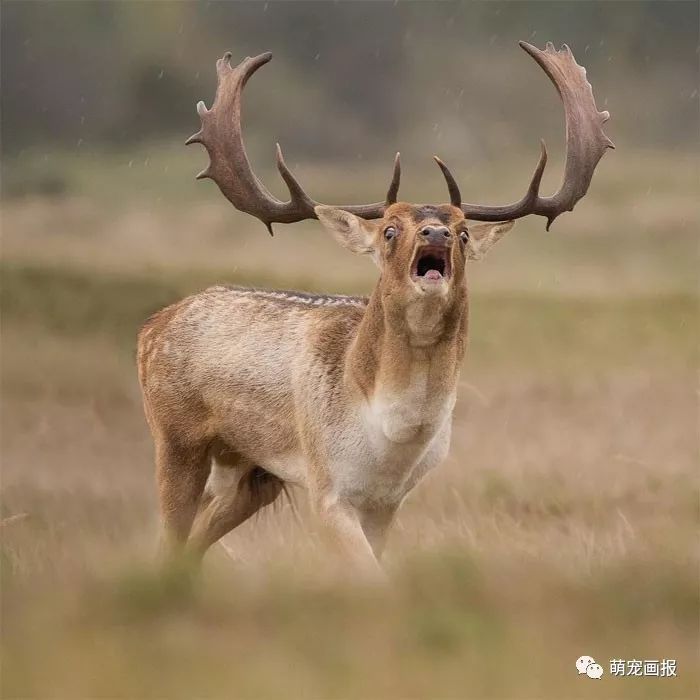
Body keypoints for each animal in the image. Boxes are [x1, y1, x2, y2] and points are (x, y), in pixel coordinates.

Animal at [137, 42, 612, 580]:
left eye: (463, 232)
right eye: (389, 229)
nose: (435, 232)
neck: (391, 436)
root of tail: (151, 327)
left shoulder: (387, 503)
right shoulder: (326, 489)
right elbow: (370, 578)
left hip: (251, 473)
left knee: (190, 544)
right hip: (176, 440)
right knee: (170, 536)